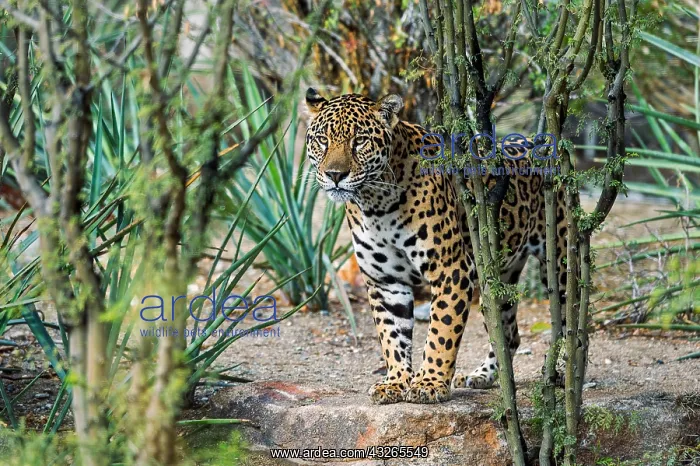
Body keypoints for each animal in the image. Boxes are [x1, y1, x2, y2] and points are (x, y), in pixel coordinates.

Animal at [303, 88, 568, 404]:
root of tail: (536, 142)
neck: (375, 205)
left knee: (570, 321)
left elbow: (441, 331)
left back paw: (562, 369)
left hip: (560, 260)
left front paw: (429, 383)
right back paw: (485, 375)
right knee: (509, 335)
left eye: (360, 141)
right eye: (322, 140)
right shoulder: (385, 281)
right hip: (497, 282)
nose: (335, 174)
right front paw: (395, 381)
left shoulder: (451, 270)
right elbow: (391, 336)